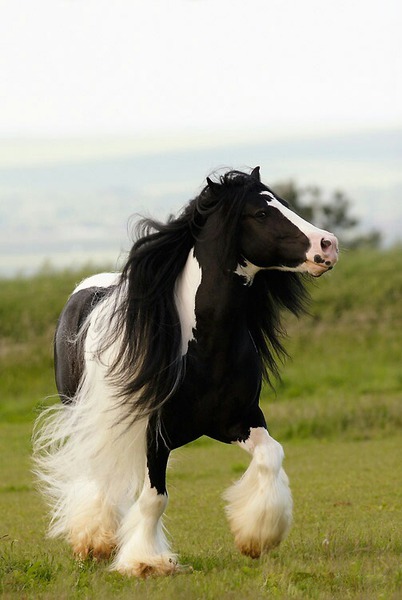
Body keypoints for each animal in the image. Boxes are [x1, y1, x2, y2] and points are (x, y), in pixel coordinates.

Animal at [33, 165, 338, 576]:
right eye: (260, 213)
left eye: (284, 204)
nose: (328, 245)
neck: (202, 347)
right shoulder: (153, 434)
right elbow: (153, 499)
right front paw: (147, 563)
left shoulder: (239, 420)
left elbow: (270, 456)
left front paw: (257, 537)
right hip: (86, 419)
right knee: (98, 477)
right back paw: (94, 543)